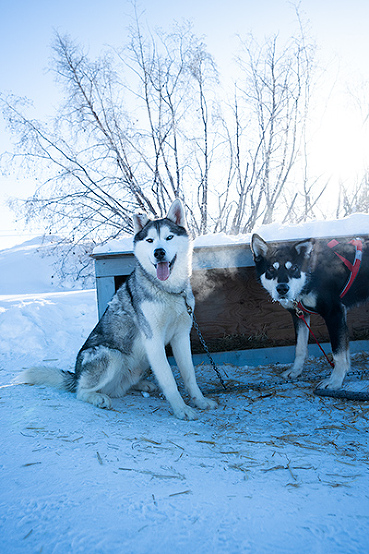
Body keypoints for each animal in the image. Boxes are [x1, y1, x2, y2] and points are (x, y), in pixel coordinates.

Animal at [18, 198, 216, 418]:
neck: (168, 290)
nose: (159, 252)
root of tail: (76, 374)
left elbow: (190, 376)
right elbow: (169, 380)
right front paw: (181, 409)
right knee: (81, 391)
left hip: (141, 362)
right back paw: (98, 398)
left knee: (122, 387)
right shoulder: (153, 340)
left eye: (169, 237)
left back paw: (142, 385)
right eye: (150, 240)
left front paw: (200, 401)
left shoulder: (181, 337)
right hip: (111, 355)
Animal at [250, 233, 368, 388]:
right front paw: (296, 370)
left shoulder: (334, 314)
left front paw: (335, 380)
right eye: (271, 269)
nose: (282, 288)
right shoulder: (299, 316)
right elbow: (300, 348)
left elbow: (338, 353)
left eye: (294, 268)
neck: (311, 276)